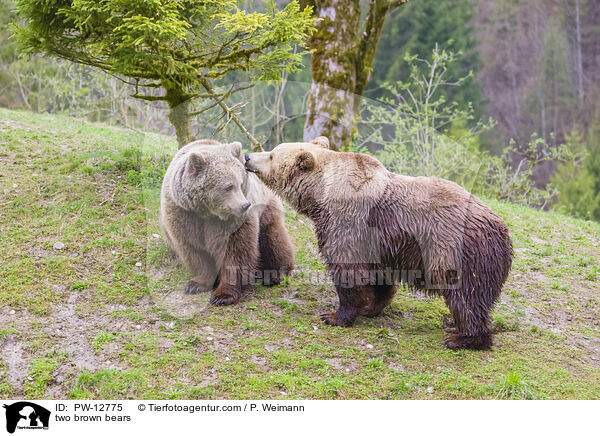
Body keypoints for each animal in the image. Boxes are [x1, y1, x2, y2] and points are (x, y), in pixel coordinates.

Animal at [161, 141, 294, 306]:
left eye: (240, 183)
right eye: (228, 186)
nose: (245, 205)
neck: (206, 212)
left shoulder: (233, 222)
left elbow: (236, 251)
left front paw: (222, 295)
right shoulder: (183, 214)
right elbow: (195, 251)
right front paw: (196, 284)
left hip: (266, 207)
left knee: (273, 240)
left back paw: (274, 274)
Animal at [246, 138, 512, 350]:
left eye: (271, 154)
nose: (248, 156)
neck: (321, 195)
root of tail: (502, 229)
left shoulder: (348, 222)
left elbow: (348, 269)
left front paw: (334, 315)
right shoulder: (379, 243)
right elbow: (377, 276)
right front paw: (371, 307)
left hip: (459, 252)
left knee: (466, 297)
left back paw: (462, 338)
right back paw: (454, 328)